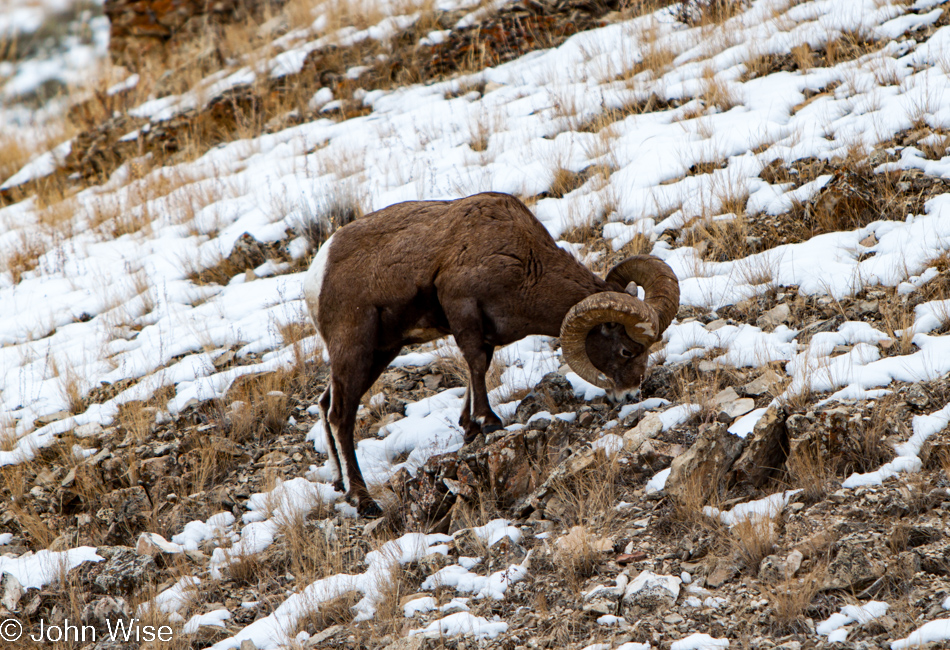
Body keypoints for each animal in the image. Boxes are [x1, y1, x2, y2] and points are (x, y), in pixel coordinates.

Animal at [302, 190, 680, 512]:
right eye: (627, 351)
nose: (630, 396)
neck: (525, 262)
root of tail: (316, 274)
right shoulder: (463, 309)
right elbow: (477, 365)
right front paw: (488, 423)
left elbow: (476, 373)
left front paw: (469, 427)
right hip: (355, 350)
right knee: (340, 416)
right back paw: (363, 501)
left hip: (380, 352)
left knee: (325, 403)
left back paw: (339, 484)